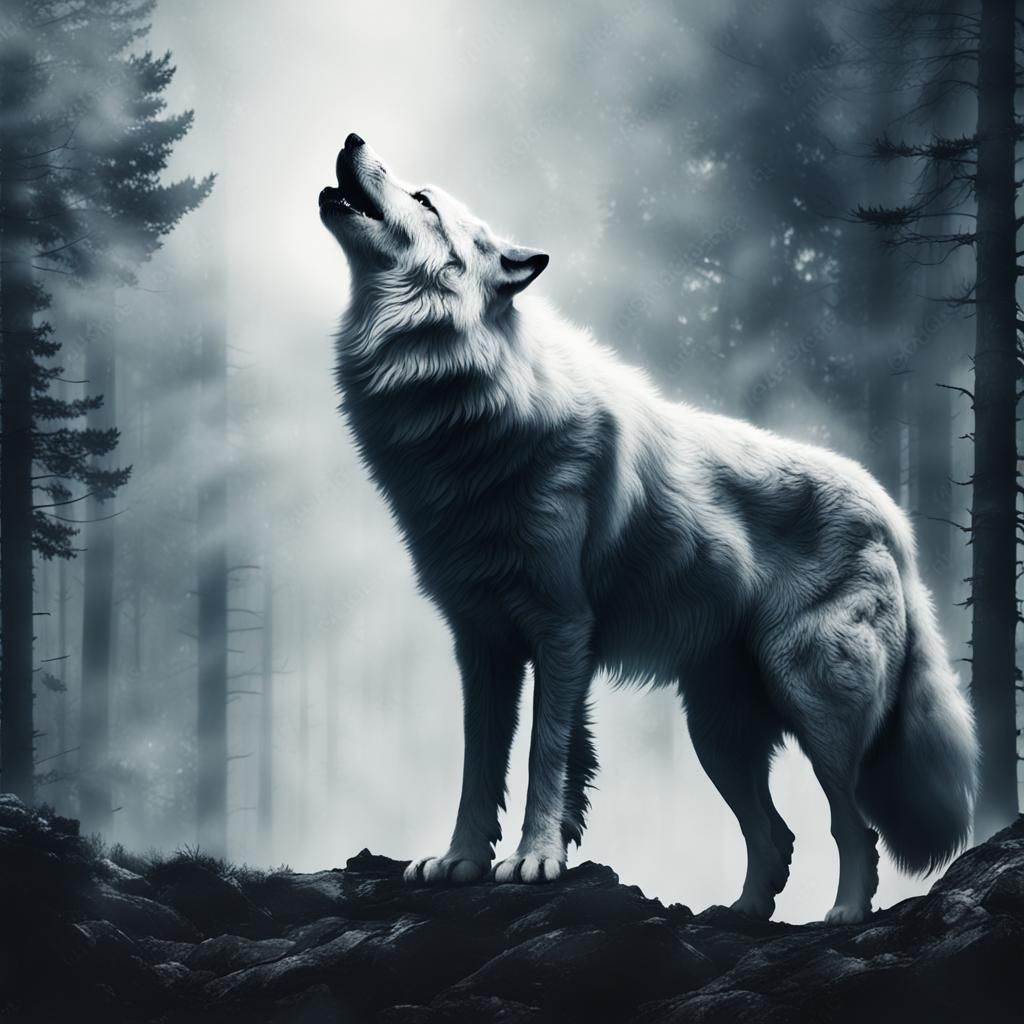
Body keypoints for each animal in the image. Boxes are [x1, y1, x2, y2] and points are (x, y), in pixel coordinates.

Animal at [319, 133, 978, 923]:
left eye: (423, 199)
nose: (352, 139)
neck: (462, 400)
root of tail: (892, 514)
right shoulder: (482, 643)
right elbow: (480, 767)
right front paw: (459, 861)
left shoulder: (561, 631)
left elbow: (544, 757)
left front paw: (535, 859)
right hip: (717, 734)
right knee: (776, 835)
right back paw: (740, 917)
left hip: (815, 706)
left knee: (853, 829)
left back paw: (844, 915)